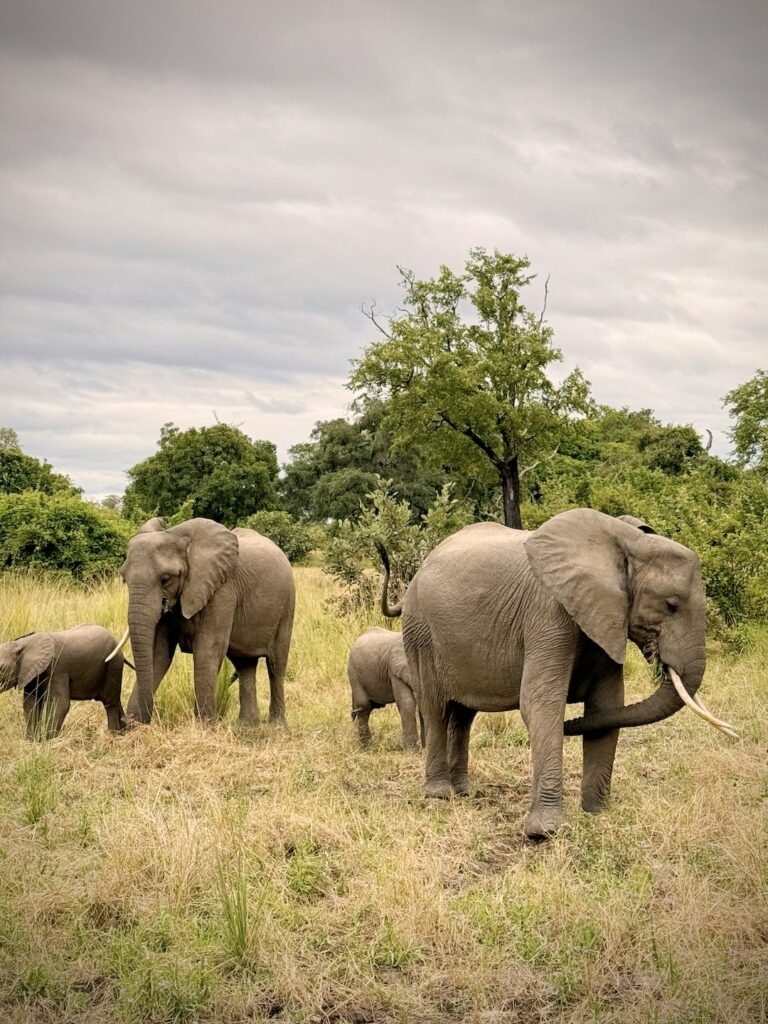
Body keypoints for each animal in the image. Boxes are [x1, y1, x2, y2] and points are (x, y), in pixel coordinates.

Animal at [0, 622, 128, 737]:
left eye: (1, 668)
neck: (22, 643)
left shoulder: (57, 670)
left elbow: (60, 703)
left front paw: (48, 742)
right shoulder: (30, 673)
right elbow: (31, 704)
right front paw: (32, 741)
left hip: (113, 664)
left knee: (109, 702)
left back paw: (112, 735)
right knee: (115, 700)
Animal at [109, 520, 296, 729]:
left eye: (166, 579)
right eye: (124, 579)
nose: (126, 720)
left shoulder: (222, 590)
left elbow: (207, 650)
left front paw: (205, 727)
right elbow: (159, 653)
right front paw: (136, 725)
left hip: (287, 606)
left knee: (276, 664)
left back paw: (277, 726)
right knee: (244, 664)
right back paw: (247, 726)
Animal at [348, 622, 421, 753]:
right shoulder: (395, 669)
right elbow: (407, 703)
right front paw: (413, 752)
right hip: (353, 672)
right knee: (363, 706)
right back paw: (367, 748)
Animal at [378, 512, 741, 839]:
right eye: (671, 605)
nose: (570, 726)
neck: (624, 542)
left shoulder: (604, 618)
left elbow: (606, 708)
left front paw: (596, 814)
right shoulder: (548, 613)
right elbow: (541, 705)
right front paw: (546, 832)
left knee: (463, 715)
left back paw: (465, 792)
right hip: (420, 632)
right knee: (436, 707)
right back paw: (439, 795)